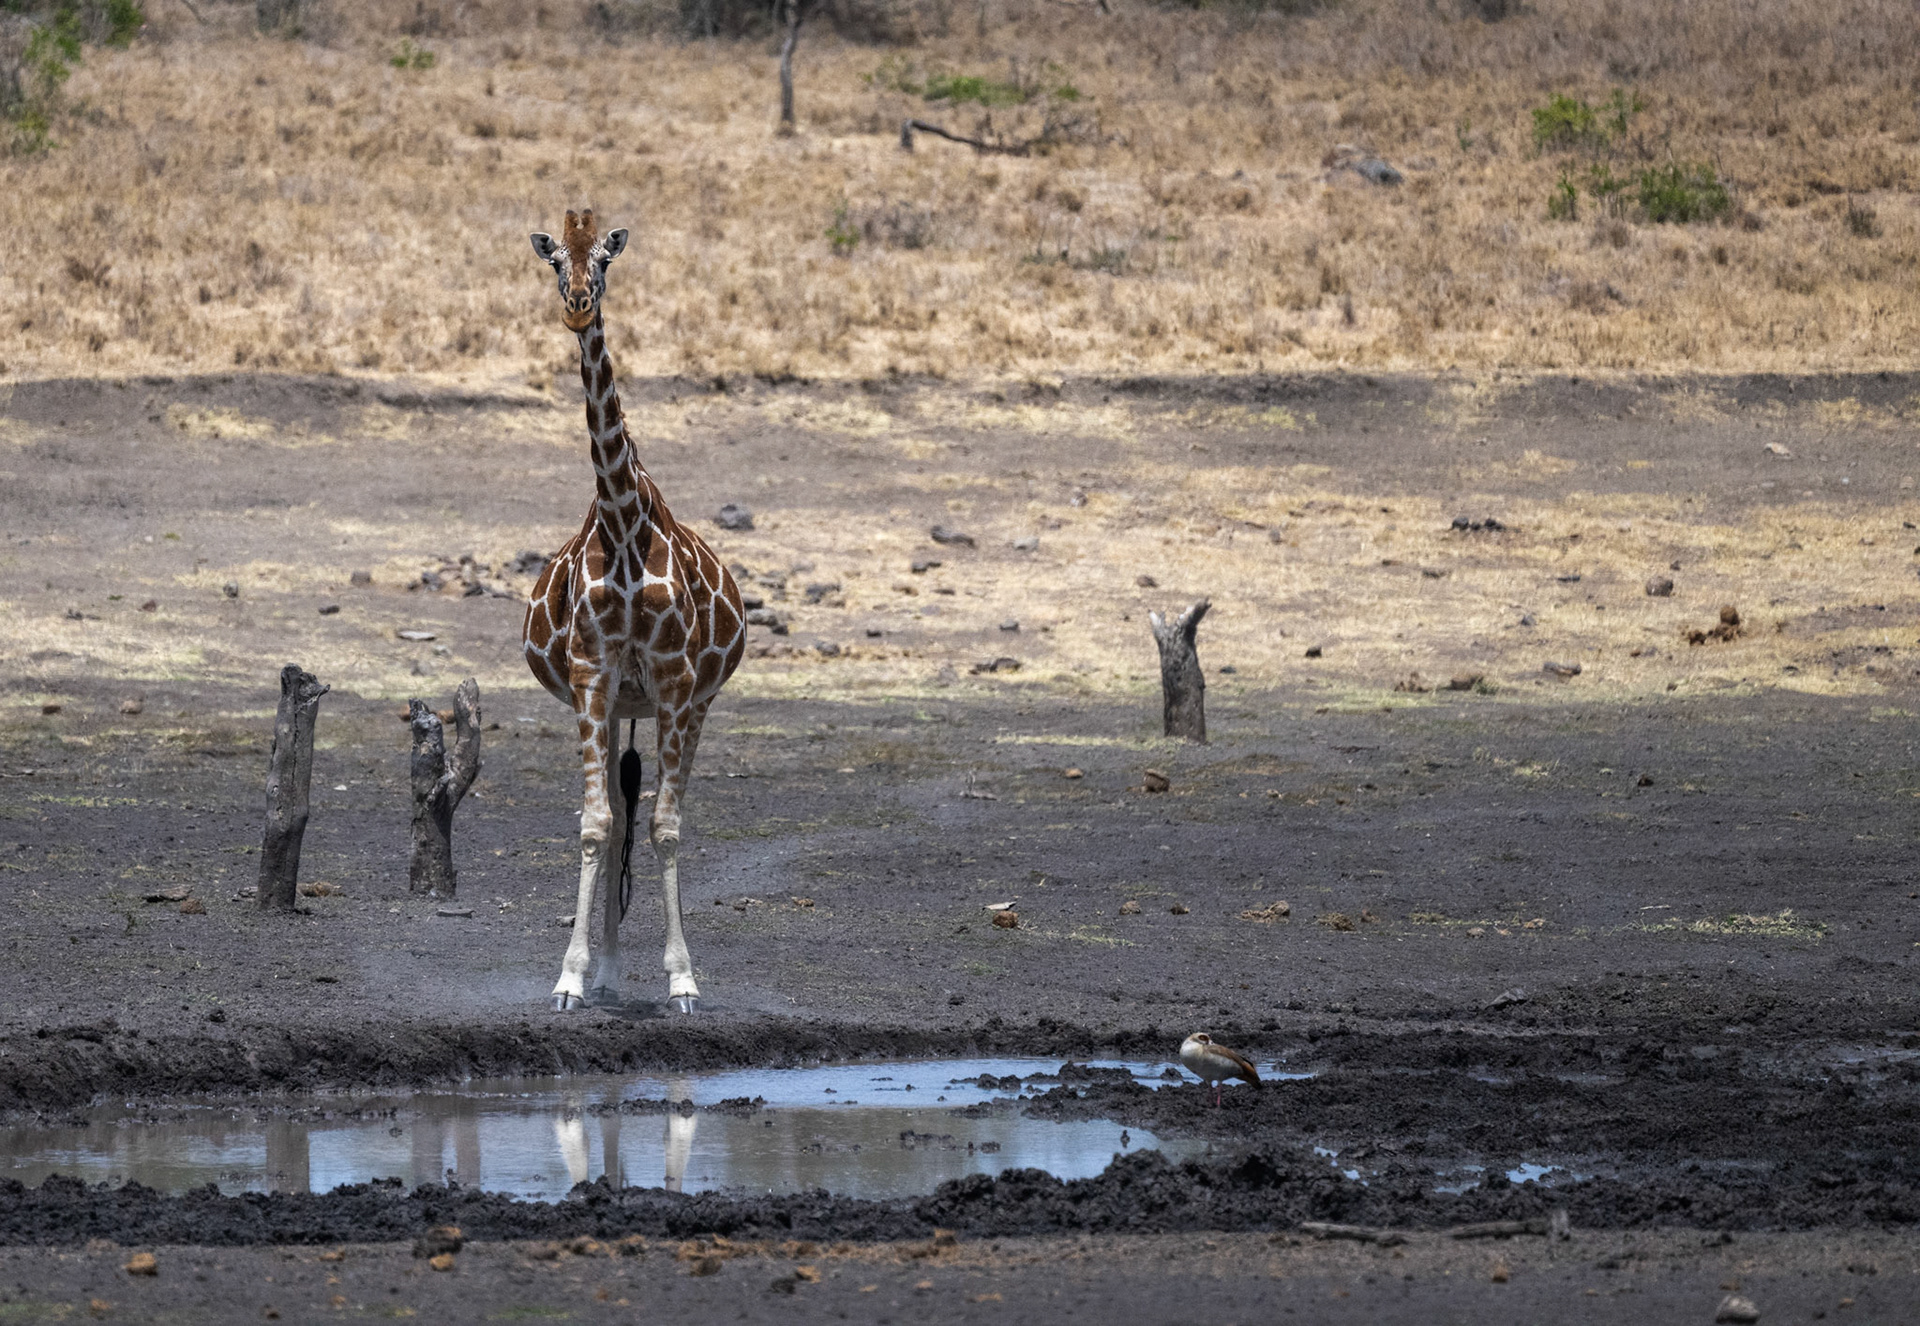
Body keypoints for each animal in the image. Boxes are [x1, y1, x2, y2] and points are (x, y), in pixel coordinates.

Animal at [524, 209, 747, 1013]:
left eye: (605, 262)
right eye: (555, 262)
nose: (578, 305)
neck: (622, 522)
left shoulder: (678, 684)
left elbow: (667, 829)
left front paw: (683, 980)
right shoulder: (593, 676)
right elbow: (596, 826)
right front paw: (570, 978)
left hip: (685, 703)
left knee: (647, 818)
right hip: (623, 701)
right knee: (617, 818)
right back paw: (611, 971)